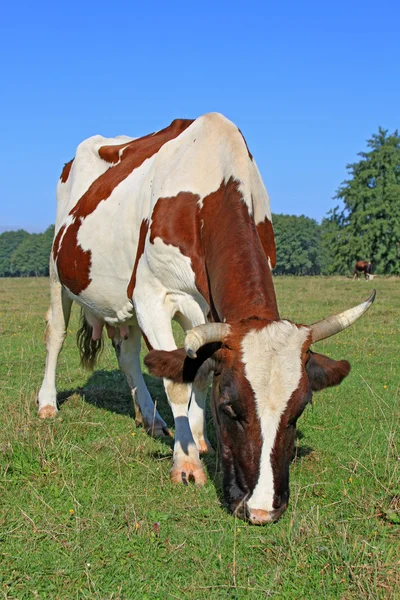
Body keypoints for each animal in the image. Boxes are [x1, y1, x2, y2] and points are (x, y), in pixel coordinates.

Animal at [37, 113, 376, 524]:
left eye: (298, 411)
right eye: (231, 407)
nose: (262, 510)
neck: (210, 187)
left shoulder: (203, 310)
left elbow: (198, 373)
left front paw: (197, 440)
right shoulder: (152, 296)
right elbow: (178, 382)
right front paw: (186, 465)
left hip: (121, 294)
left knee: (128, 352)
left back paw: (150, 418)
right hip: (58, 270)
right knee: (56, 333)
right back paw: (48, 404)